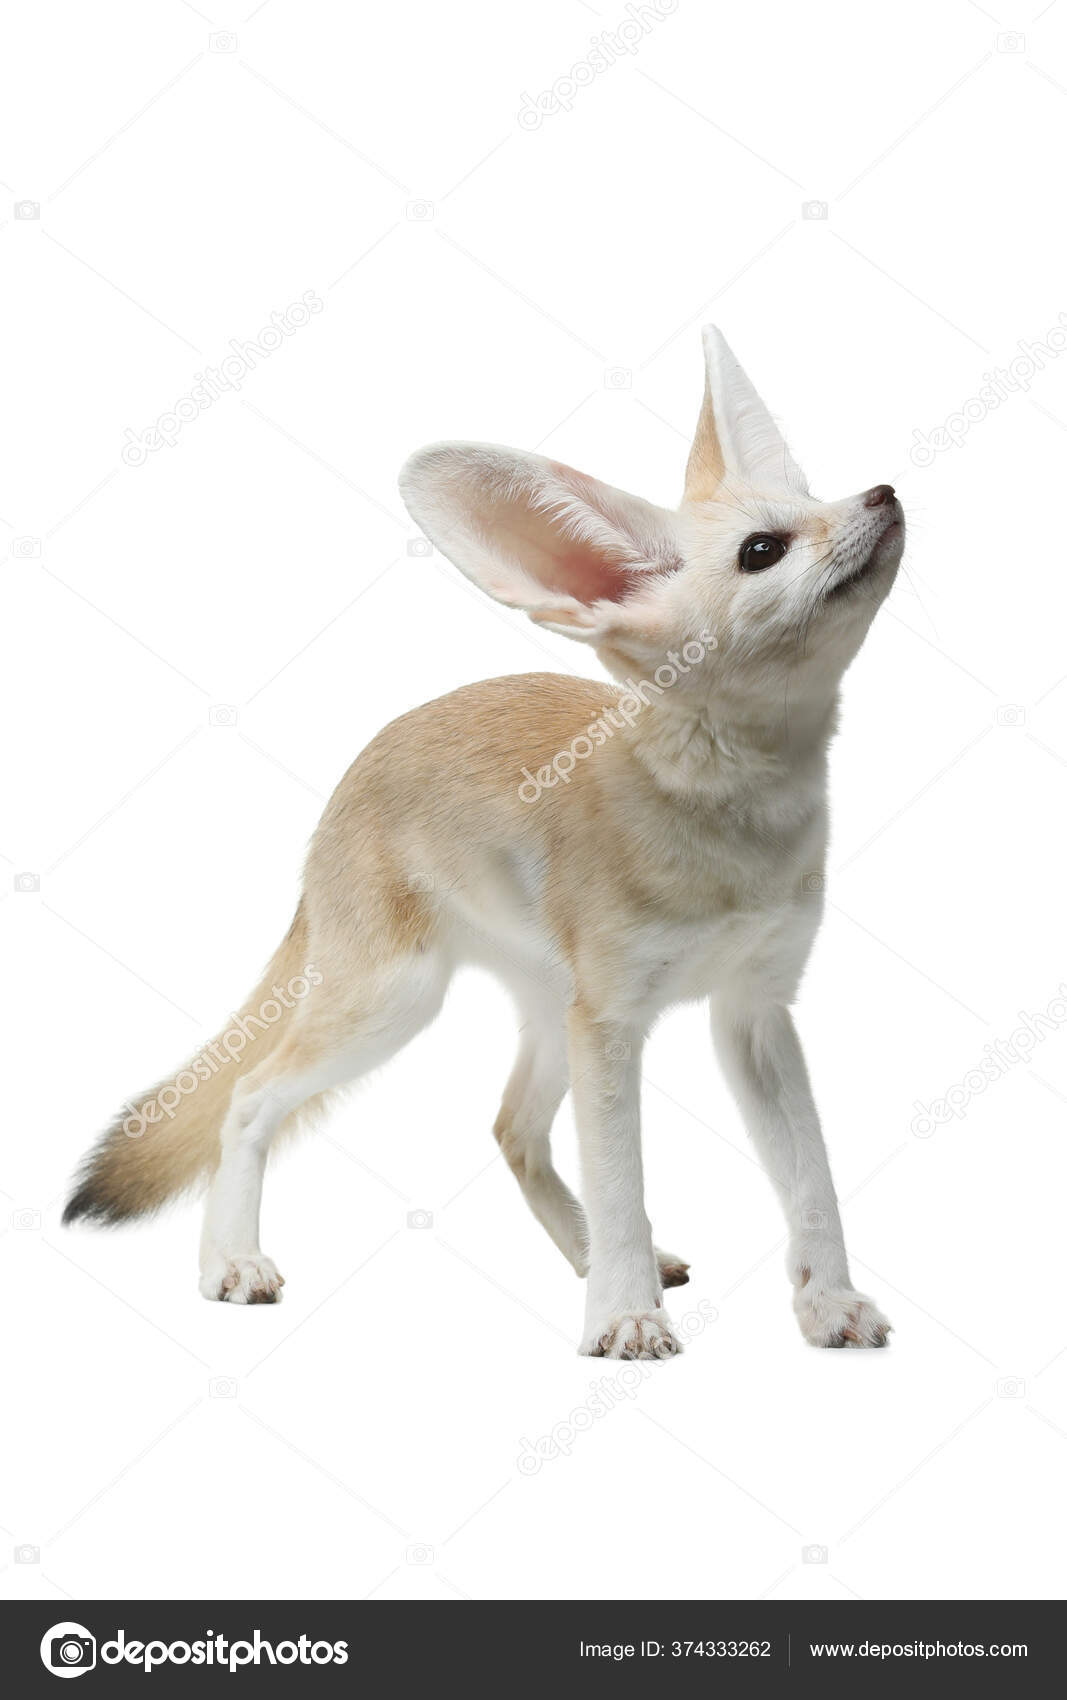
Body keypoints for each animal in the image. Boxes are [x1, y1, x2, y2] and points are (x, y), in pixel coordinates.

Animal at [64, 326, 904, 1360]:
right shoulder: (612, 1023)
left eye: (815, 497)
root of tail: (351, 776)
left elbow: (811, 1179)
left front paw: (826, 1301)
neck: (732, 829)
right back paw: (231, 1261)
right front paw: (623, 1315)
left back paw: (584, 1256)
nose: (882, 493)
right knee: (249, 1097)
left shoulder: (755, 1013)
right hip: (396, 1002)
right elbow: (624, 1183)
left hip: (544, 1010)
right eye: (762, 550)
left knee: (510, 1129)